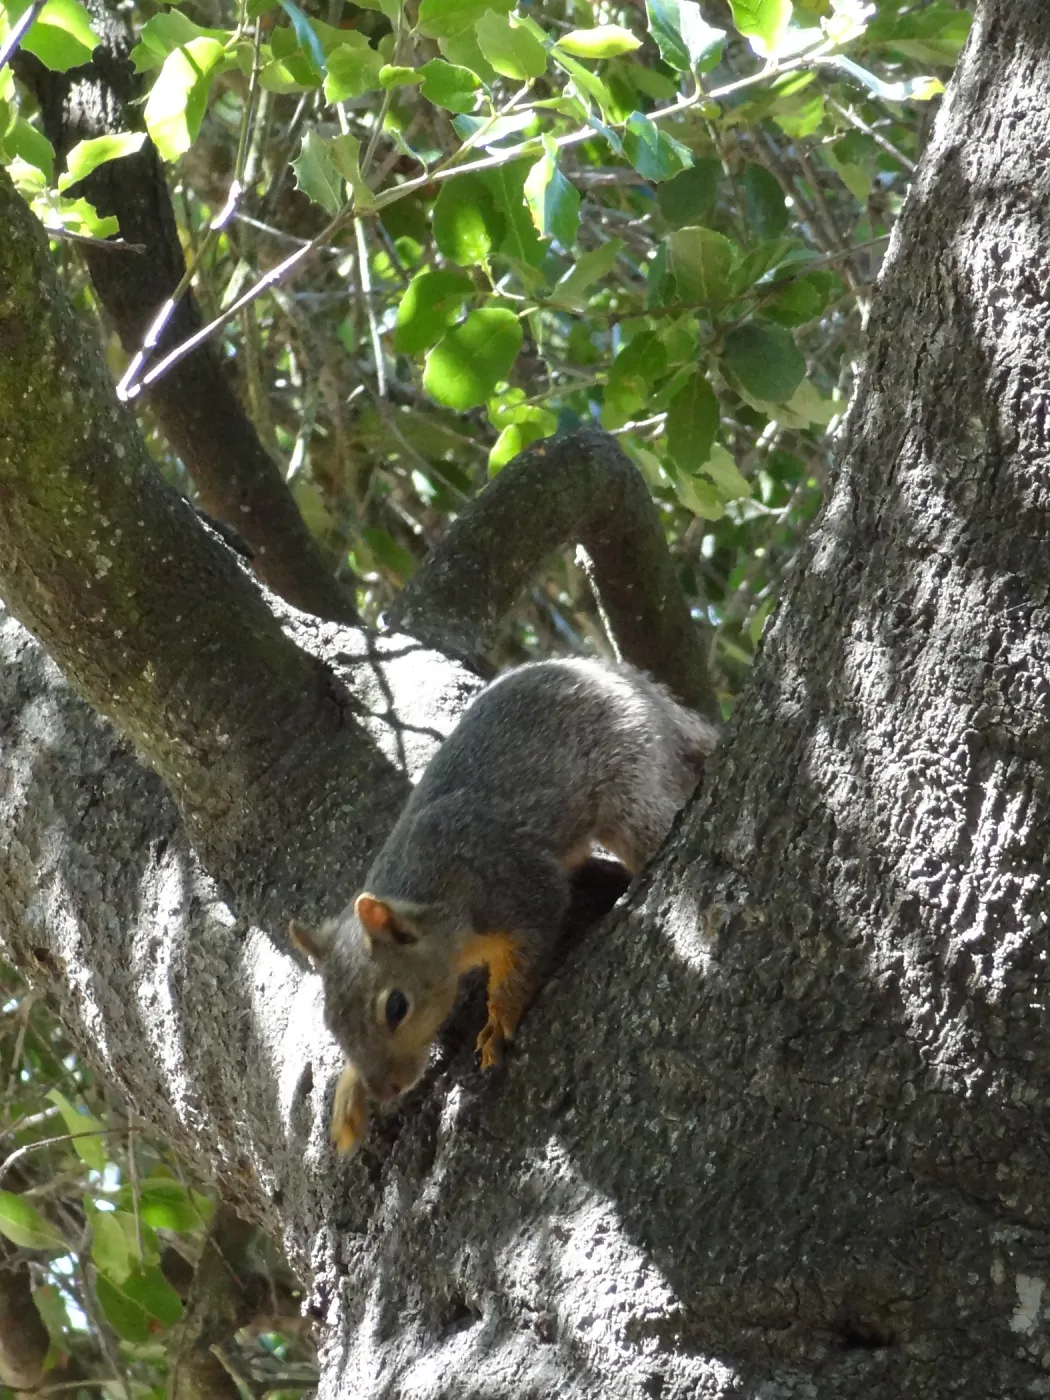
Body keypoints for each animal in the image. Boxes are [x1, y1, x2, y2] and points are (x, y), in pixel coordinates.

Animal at [290, 657, 718, 1154]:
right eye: (331, 1023)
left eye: (396, 1007)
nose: (386, 1089)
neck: (433, 896)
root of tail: (642, 690)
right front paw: (350, 1095)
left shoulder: (513, 885)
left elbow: (529, 947)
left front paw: (499, 1019)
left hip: (628, 769)